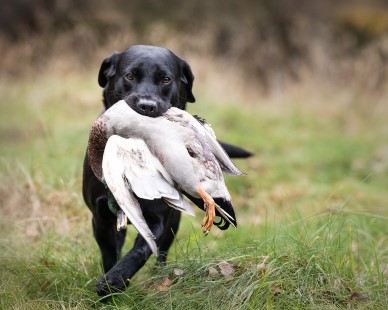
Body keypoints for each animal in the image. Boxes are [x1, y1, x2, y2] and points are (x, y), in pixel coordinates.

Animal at [82, 44, 252, 296]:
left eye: (165, 79)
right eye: (130, 76)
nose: (147, 106)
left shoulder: (159, 219)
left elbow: (142, 250)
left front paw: (115, 279)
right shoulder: (101, 218)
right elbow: (110, 255)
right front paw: (111, 288)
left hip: (173, 222)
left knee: (161, 253)